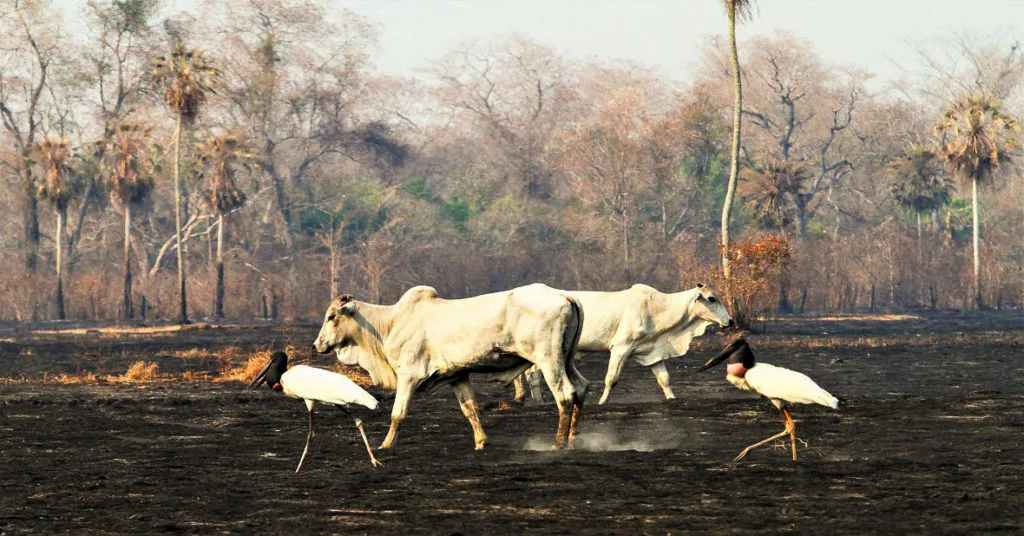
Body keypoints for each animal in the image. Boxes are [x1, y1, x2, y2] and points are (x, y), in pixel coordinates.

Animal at [309, 284, 585, 452]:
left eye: (332, 316)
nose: (316, 345)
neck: (390, 322)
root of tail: (566, 296)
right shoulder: (457, 375)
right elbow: (470, 409)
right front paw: (481, 441)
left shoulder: (409, 375)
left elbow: (398, 413)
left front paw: (386, 444)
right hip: (566, 359)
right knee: (581, 388)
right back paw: (573, 437)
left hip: (549, 360)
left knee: (565, 395)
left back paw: (559, 443)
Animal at [516, 282, 733, 405]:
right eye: (711, 299)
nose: (730, 321)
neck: (656, 308)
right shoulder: (621, 347)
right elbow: (611, 378)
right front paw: (602, 402)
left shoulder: (651, 351)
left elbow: (664, 378)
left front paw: (672, 399)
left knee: (529, 373)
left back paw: (533, 400)